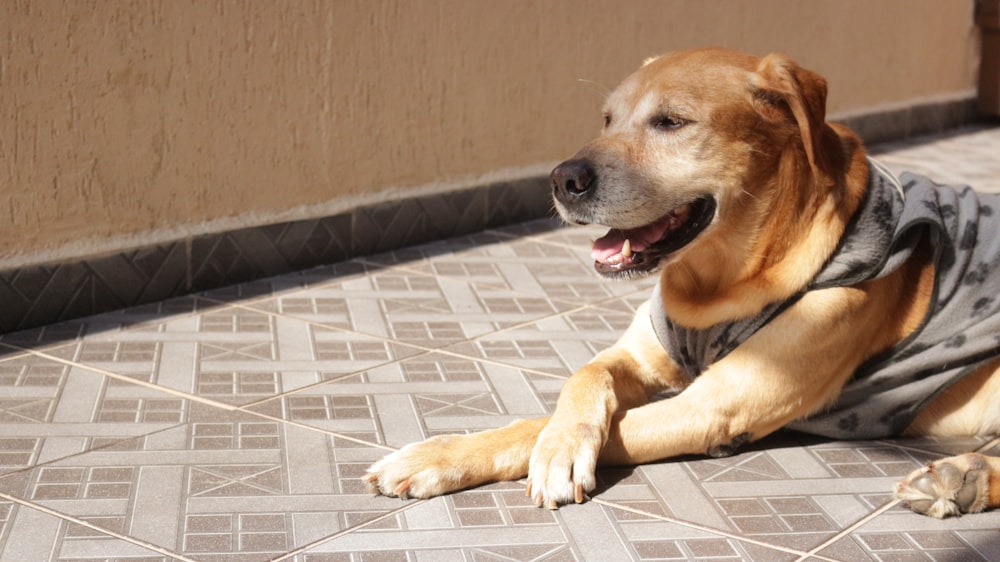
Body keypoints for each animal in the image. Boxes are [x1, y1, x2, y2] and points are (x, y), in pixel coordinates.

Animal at [366, 47, 1000, 516]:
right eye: (607, 119)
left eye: (670, 122)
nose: (562, 178)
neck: (714, 286)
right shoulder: (638, 354)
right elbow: (580, 379)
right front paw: (532, 444)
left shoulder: (716, 406)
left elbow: (545, 428)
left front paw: (526, 454)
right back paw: (959, 477)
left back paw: (963, 479)